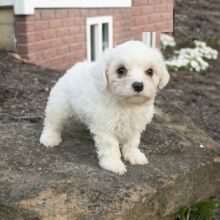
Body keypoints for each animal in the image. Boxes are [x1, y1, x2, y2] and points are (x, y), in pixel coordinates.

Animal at [40, 40, 170, 174]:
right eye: (121, 70)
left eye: (150, 71)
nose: (138, 85)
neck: (126, 105)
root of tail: (73, 68)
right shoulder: (105, 126)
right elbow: (110, 145)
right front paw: (113, 164)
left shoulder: (135, 126)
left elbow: (132, 141)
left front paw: (133, 155)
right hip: (59, 105)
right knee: (53, 122)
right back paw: (50, 138)